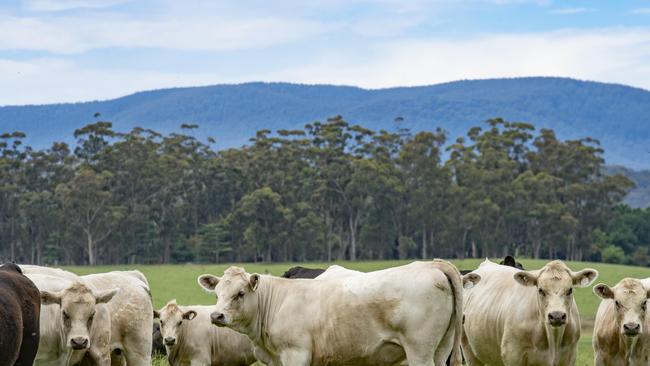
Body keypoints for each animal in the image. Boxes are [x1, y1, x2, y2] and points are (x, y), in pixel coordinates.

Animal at [197, 260, 466, 366]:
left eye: (240, 293)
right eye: (217, 293)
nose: (216, 316)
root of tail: (430, 264)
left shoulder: (296, 354)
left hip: (420, 351)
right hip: (441, 349)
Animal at [464, 258, 596, 364]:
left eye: (570, 290)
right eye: (541, 290)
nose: (557, 316)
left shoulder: (570, 355)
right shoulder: (512, 354)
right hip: (468, 350)